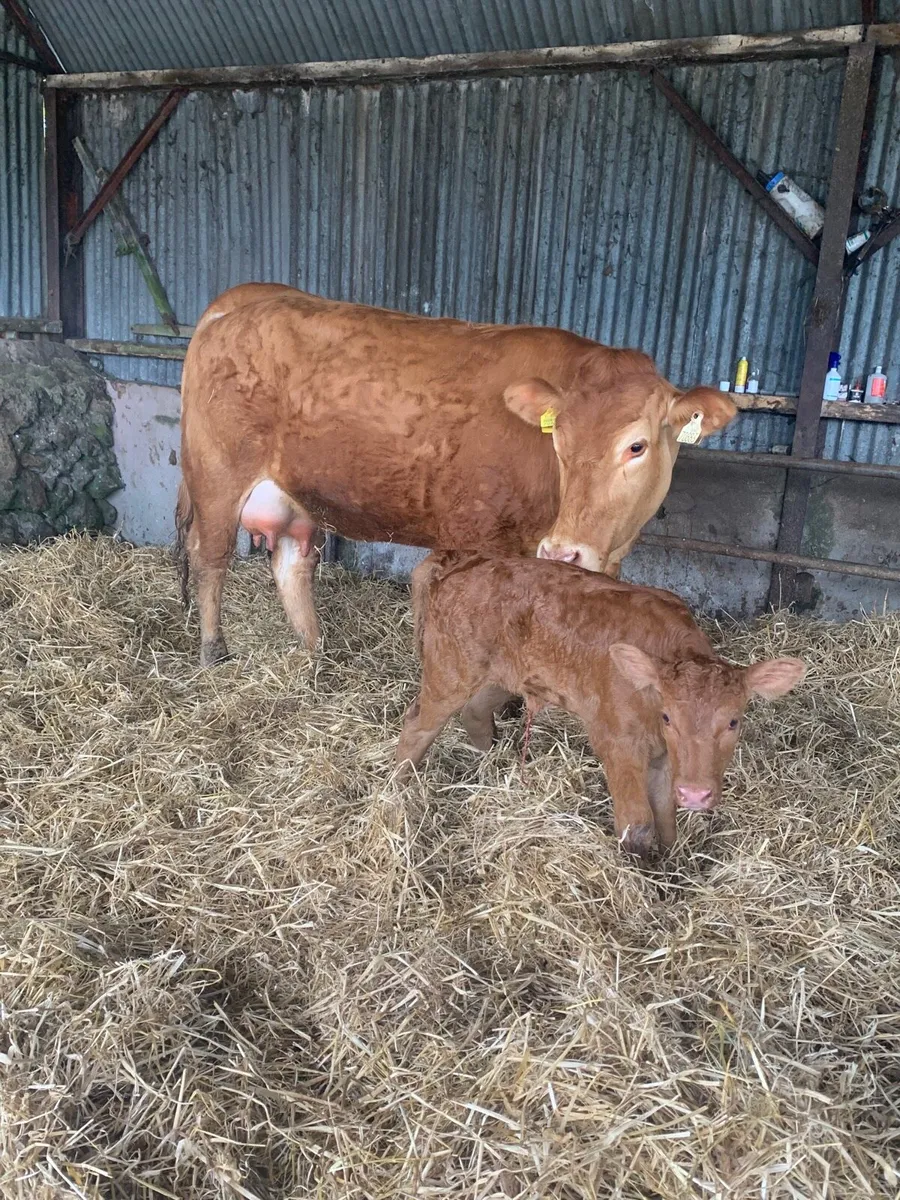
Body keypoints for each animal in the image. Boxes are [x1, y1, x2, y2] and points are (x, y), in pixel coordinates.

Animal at [176, 284, 736, 666]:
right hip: (218, 477)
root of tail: (245, 300)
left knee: (292, 564)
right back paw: (213, 650)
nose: (564, 551)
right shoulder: (479, 537)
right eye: (559, 441)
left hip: (295, 496)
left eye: (636, 445)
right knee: (210, 558)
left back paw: (316, 651)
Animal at [395, 553, 805, 857]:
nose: (696, 794)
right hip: (451, 670)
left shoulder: (666, 758)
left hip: (503, 675)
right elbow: (637, 824)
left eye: (734, 722)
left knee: (475, 712)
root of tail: (454, 561)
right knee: (417, 724)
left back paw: (489, 769)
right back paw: (398, 790)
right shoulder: (618, 742)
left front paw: (673, 871)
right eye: (668, 716)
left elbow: (666, 819)